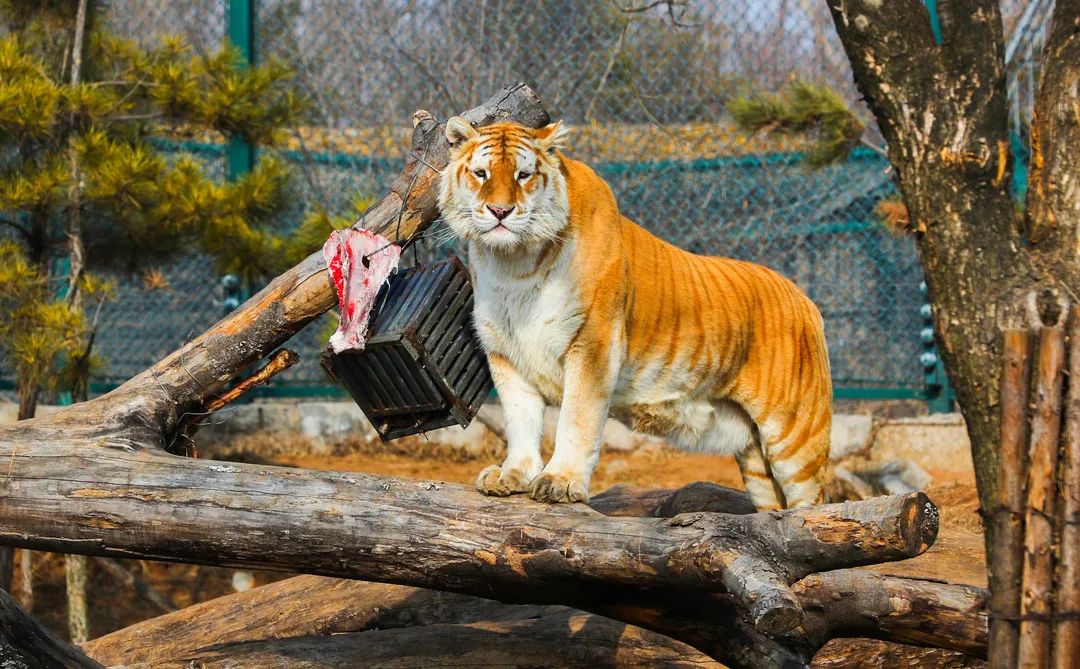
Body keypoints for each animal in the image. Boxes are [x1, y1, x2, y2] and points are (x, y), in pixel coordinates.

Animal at [437, 117, 832, 510]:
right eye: (481, 174)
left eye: (523, 175)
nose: (500, 211)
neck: (512, 264)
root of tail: (803, 297)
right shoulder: (506, 354)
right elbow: (521, 422)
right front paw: (512, 475)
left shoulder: (592, 344)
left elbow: (576, 419)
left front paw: (560, 482)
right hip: (753, 454)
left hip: (796, 437)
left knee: (813, 507)